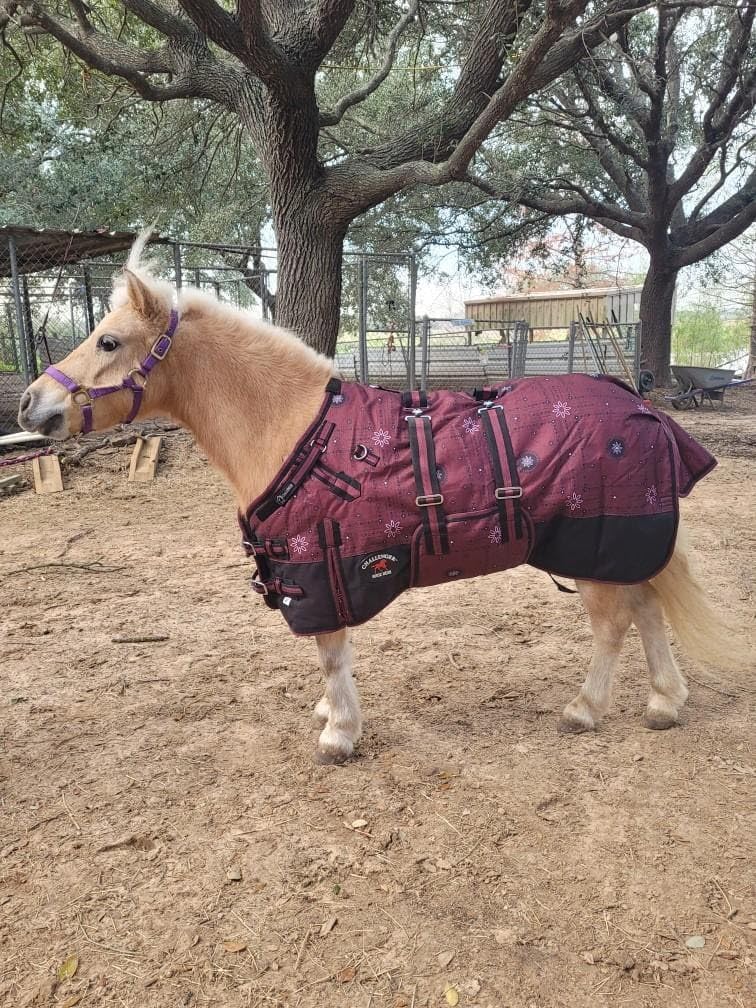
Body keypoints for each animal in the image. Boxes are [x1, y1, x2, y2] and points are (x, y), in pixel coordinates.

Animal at [18, 239, 736, 765]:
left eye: (109, 342)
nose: (29, 404)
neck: (294, 428)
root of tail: (642, 407)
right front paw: (332, 714)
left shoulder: (319, 571)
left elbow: (331, 652)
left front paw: (339, 732)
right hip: (617, 548)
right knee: (647, 610)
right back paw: (665, 703)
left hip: (594, 550)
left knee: (615, 624)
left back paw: (586, 709)